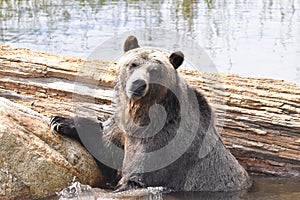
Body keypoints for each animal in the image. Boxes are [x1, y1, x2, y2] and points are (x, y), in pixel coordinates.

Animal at [50, 35, 252, 191]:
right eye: (133, 64)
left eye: (154, 70)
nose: (138, 84)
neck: (141, 114)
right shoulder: (124, 134)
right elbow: (106, 144)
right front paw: (60, 121)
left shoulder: (165, 144)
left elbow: (135, 179)